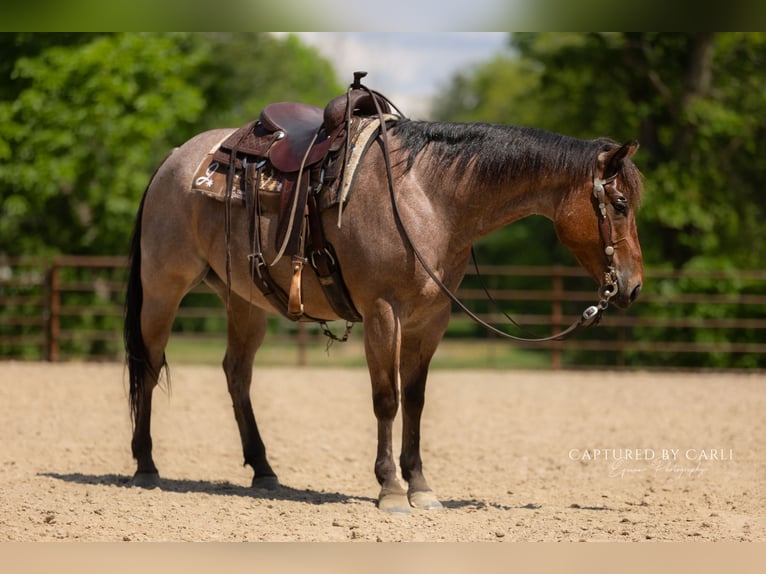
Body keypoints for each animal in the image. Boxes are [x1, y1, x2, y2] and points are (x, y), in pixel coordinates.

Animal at [124, 108, 643, 513]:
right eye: (619, 203)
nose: (633, 286)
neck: (429, 199)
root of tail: (174, 159)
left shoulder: (430, 320)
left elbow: (415, 399)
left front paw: (421, 486)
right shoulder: (381, 312)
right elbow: (387, 398)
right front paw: (391, 489)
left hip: (244, 300)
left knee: (237, 373)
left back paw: (264, 469)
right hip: (163, 287)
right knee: (149, 366)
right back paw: (146, 464)